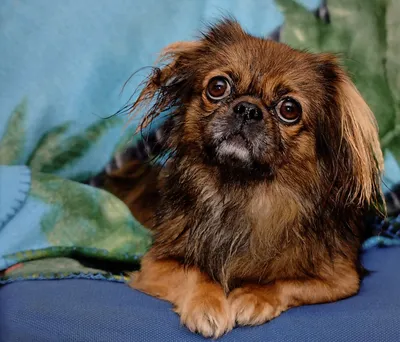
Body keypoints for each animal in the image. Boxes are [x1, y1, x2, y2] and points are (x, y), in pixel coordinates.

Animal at [103, 19, 384, 340]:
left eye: (289, 109)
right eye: (217, 87)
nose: (248, 108)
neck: (242, 191)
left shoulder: (342, 278)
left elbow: (283, 282)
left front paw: (253, 296)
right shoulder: (155, 264)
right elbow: (197, 274)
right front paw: (207, 306)